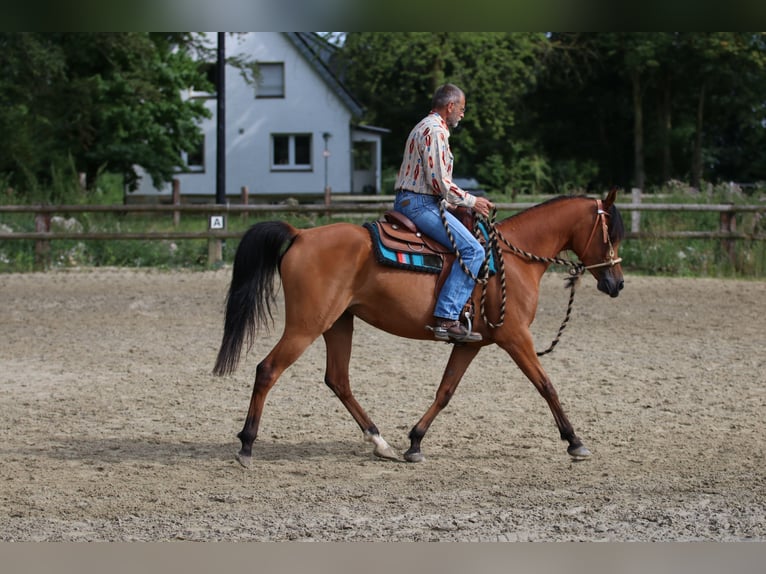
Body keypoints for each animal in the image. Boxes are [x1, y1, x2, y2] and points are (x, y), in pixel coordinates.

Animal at [213, 189, 628, 468]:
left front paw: (415, 442)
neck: (512, 260)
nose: (617, 283)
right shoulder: (515, 338)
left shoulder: (470, 342)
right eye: (611, 234)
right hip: (306, 324)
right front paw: (574, 441)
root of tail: (300, 233)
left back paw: (380, 442)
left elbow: (445, 391)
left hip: (338, 323)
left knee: (338, 380)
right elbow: (546, 385)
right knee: (268, 370)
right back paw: (246, 445)